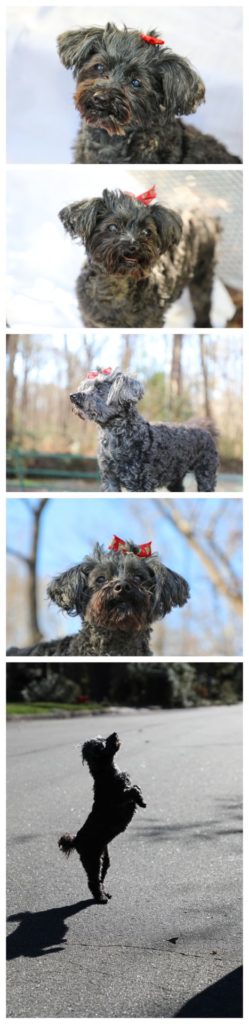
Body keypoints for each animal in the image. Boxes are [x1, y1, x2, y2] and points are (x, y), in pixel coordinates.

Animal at [58, 186, 221, 325]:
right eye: (113, 227)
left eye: (146, 232)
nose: (133, 245)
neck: (117, 285)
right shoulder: (91, 320)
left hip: (203, 274)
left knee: (202, 303)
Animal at [58, 729, 145, 905]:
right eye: (101, 744)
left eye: (101, 738)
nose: (115, 733)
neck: (106, 772)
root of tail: (76, 840)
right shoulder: (118, 799)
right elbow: (132, 790)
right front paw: (140, 800)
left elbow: (136, 787)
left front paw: (141, 800)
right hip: (91, 859)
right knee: (92, 881)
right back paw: (100, 897)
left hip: (104, 857)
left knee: (100, 878)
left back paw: (105, 892)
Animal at [70, 368, 218, 491]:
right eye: (86, 387)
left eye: (100, 389)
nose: (73, 396)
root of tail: (204, 430)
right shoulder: (110, 480)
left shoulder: (140, 483)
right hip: (176, 478)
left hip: (206, 473)